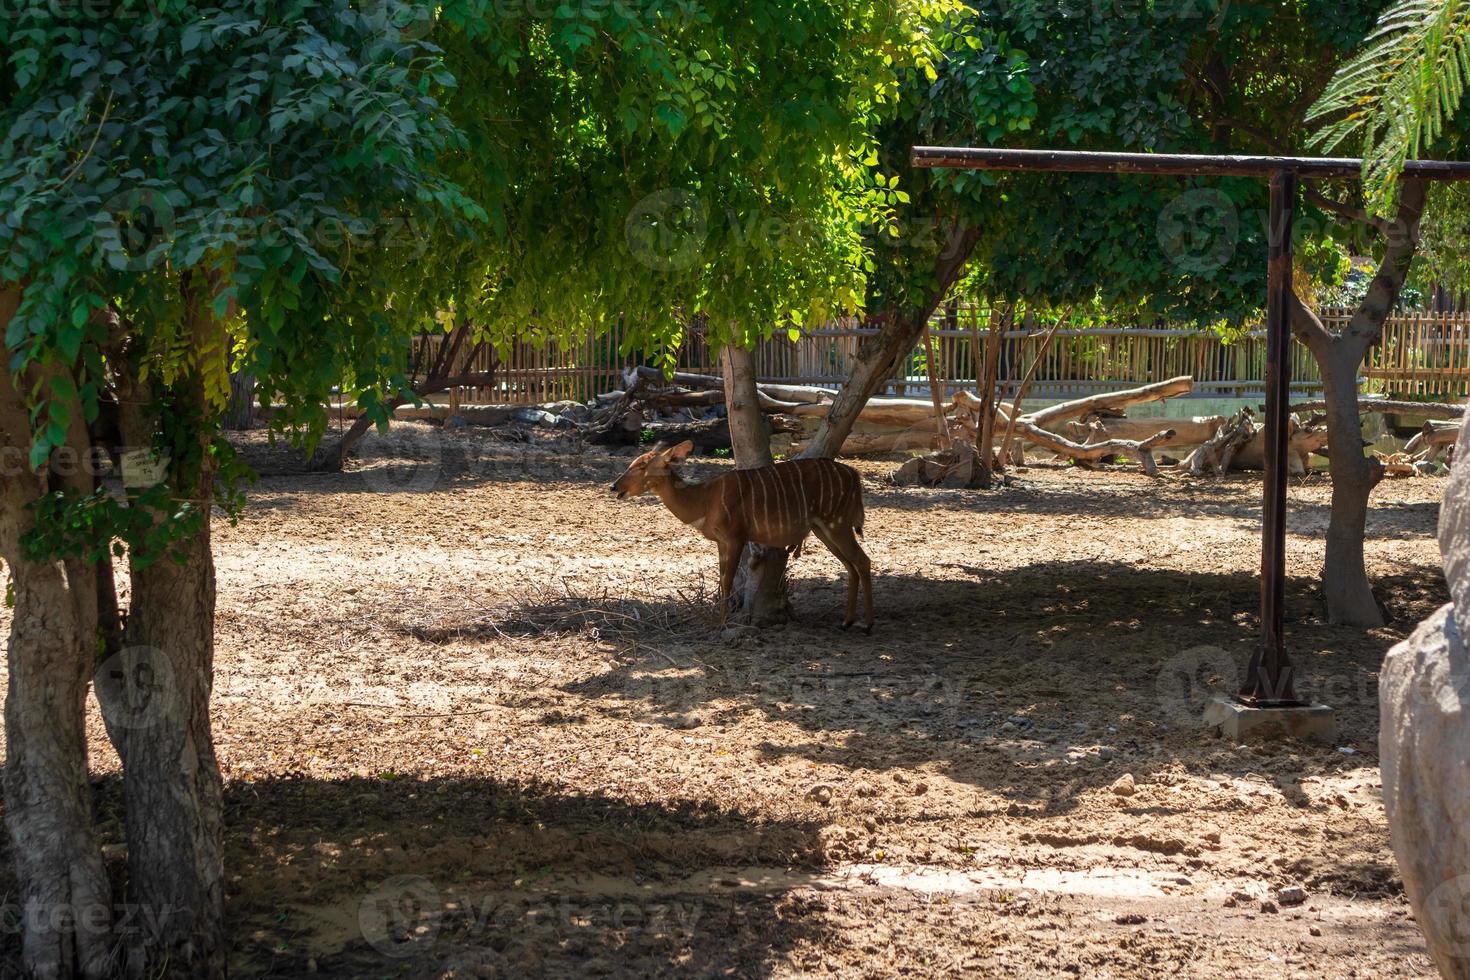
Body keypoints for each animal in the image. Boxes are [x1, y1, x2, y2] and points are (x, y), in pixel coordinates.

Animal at [608, 443, 870, 628]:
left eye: (642, 466)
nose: (614, 486)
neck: (704, 501)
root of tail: (854, 474)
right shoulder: (721, 542)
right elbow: (723, 577)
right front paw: (721, 617)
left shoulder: (735, 537)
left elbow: (726, 579)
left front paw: (722, 622)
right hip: (822, 528)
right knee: (851, 565)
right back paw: (846, 621)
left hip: (837, 523)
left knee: (863, 560)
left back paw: (866, 624)